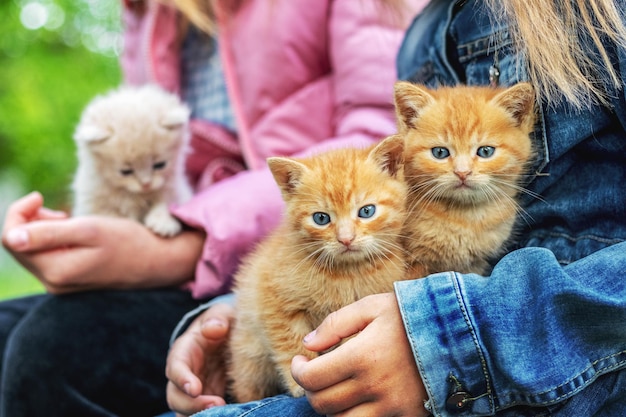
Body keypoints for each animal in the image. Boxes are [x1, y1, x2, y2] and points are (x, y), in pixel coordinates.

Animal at [71, 85, 191, 236]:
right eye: (126, 171)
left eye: (159, 165)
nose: (146, 184)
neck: (135, 195)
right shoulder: (93, 203)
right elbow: (112, 215)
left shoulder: (174, 189)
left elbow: (165, 203)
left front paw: (163, 223)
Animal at [227, 135, 408, 402]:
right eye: (321, 218)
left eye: (366, 211)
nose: (346, 239)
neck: (345, 272)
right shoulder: (272, 299)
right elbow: (289, 340)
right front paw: (297, 383)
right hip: (249, 354)